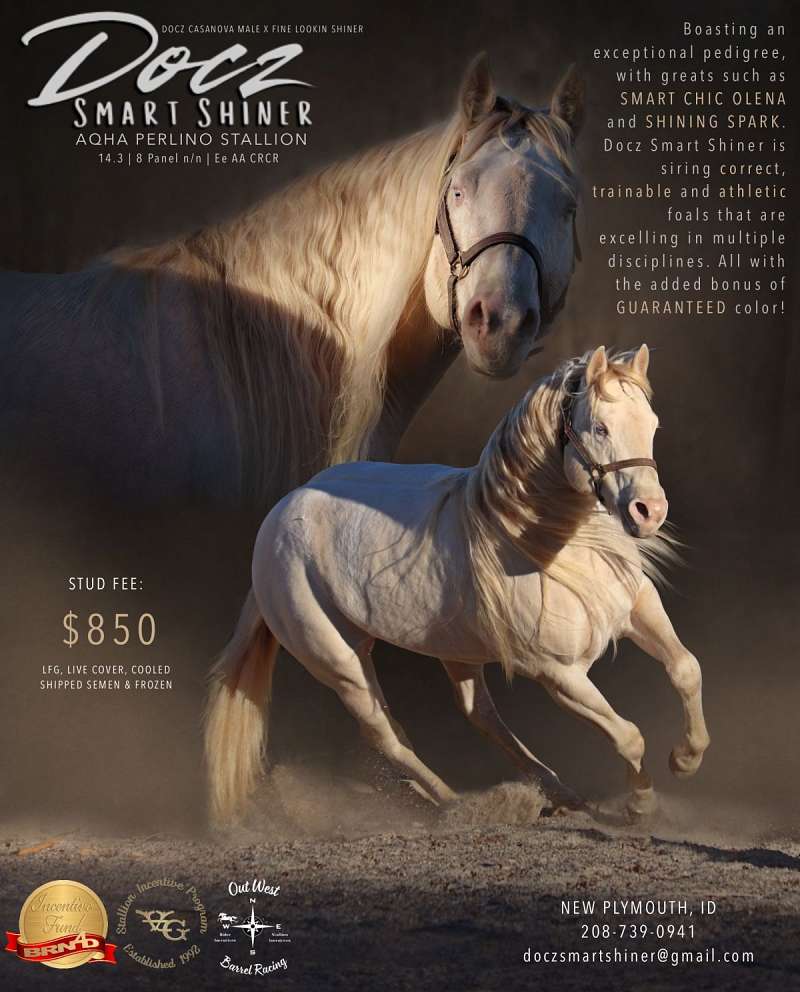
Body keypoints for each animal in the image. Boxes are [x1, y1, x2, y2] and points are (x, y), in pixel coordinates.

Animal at [205, 345, 711, 823]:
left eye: (652, 424)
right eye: (600, 428)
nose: (650, 512)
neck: (548, 547)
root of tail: (274, 524)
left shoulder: (637, 609)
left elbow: (686, 668)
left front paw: (686, 759)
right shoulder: (559, 674)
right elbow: (629, 735)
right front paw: (641, 804)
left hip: (455, 650)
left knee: (478, 714)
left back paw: (559, 795)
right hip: (340, 662)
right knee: (386, 734)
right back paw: (455, 804)